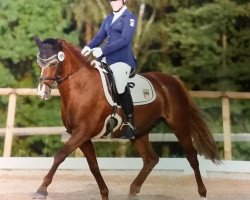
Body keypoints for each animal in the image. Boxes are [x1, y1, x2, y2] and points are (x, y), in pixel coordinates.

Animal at [33, 36, 221, 199]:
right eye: (39, 62)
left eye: (54, 63)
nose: (43, 92)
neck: (81, 86)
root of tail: (173, 80)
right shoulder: (82, 136)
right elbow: (93, 166)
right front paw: (105, 193)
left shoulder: (83, 132)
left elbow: (60, 155)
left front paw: (41, 190)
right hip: (139, 132)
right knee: (151, 159)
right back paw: (133, 190)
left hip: (179, 124)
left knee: (192, 156)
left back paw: (202, 193)